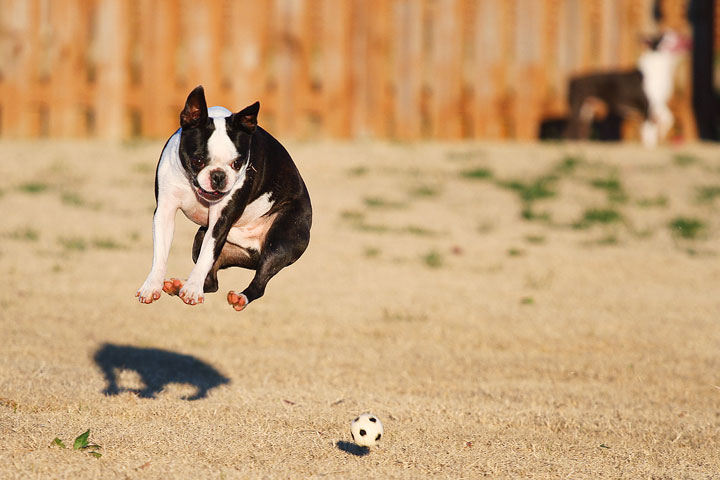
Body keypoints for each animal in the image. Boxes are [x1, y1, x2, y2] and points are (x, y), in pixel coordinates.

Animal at [136, 86, 310, 312]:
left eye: (237, 163)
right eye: (198, 161)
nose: (218, 176)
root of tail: (254, 252)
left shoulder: (221, 221)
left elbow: (205, 258)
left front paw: (192, 290)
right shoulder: (165, 212)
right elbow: (160, 253)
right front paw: (152, 286)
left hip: (281, 241)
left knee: (260, 282)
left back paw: (240, 297)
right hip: (201, 237)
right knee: (212, 282)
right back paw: (178, 286)